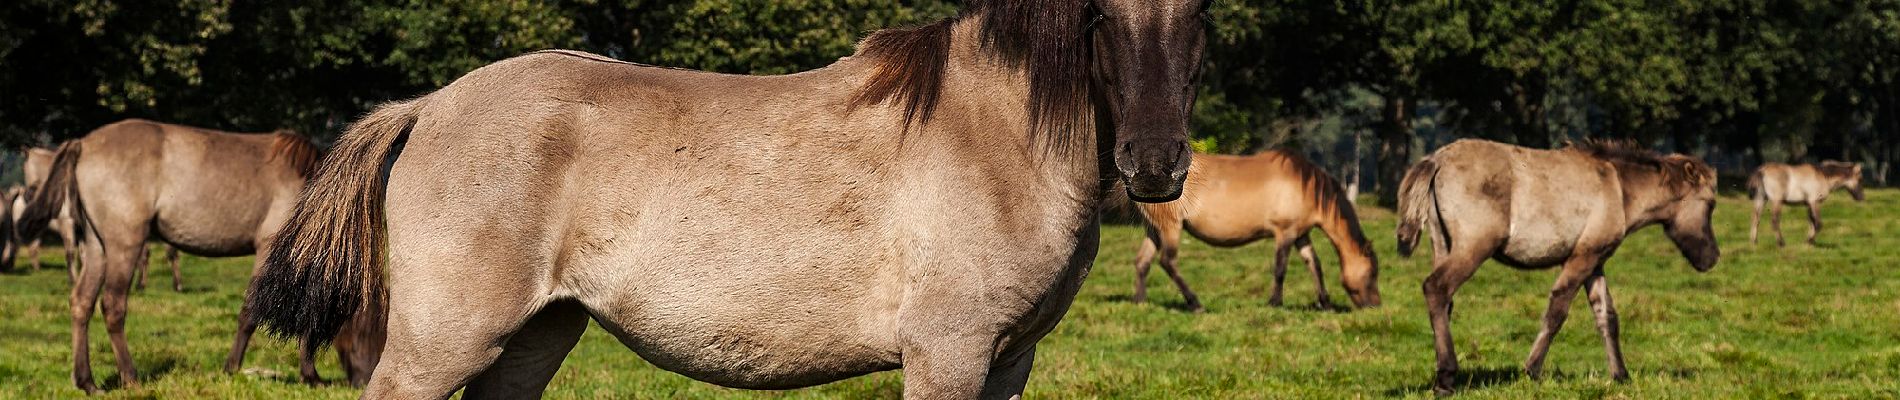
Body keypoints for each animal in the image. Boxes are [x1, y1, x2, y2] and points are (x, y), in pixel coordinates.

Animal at [15, 119, 381, 394]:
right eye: (371, 329)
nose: (365, 380)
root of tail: (84, 144)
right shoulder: (269, 247)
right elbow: (253, 312)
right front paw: (237, 368)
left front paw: (307, 374)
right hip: (124, 244)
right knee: (113, 306)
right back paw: (130, 376)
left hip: (97, 247)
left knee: (82, 303)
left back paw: (87, 382)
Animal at [252, 0, 1208, 398]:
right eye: (1098, 16)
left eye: (1199, 12)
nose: (1155, 164)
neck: (990, 132)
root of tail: (428, 106)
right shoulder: (951, 354)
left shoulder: (1008, 361)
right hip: (444, 344)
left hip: (533, 337)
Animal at [1124, 149, 1383, 312]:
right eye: (1372, 273)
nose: (1375, 305)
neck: (1305, 187)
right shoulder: (1285, 232)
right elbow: (1280, 268)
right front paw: (1275, 302)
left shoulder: (1300, 234)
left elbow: (1314, 265)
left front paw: (1325, 304)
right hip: (1171, 226)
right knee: (1167, 262)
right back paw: (1195, 304)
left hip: (1155, 229)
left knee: (1142, 261)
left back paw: (1140, 301)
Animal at [1398, 140, 1725, 394]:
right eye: (1710, 205)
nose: (1712, 258)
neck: (1620, 189)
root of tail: (1437, 159)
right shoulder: (1580, 258)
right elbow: (1557, 311)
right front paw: (1531, 369)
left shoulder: (1595, 261)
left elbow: (1607, 318)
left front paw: (1621, 375)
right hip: (1474, 246)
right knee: (1436, 288)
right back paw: (1446, 377)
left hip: (1443, 244)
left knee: (1444, 302)